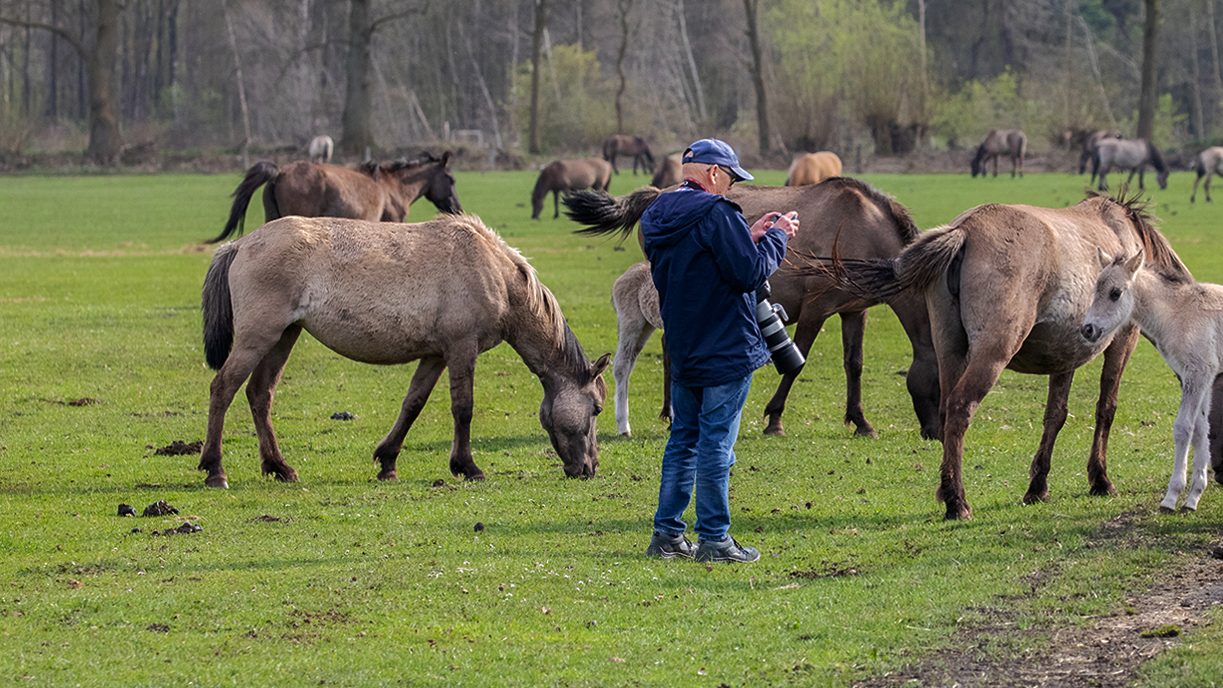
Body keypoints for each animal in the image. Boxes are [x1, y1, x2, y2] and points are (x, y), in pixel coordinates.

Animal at [196, 215, 611, 488]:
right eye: (596, 409)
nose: (589, 468)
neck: (495, 272)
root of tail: (240, 244)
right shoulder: (461, 348)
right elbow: (463, 408)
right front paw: (468, 467)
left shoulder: (435, 356)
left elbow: (413, 404)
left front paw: (388, 462)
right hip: (258, 337)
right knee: (223, 389)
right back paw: (215, 469)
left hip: (284, 336)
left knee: (259, 394)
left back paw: (278, 467)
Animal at [567, 177, 939, 444]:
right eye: (940, 379)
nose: (936, 432)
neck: (857, 228)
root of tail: (660, 193)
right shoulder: (815, 310)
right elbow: (797, 363)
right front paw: (774, 419)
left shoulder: (854, 311)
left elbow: (854, 365)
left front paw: (861, 422)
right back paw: (671, 414)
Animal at [812, 190, 1183, 520]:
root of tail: (965, 231)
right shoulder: (1123, 341)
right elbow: (1106, 409)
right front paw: (1100, 480)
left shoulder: (1065, 353)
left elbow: (1055, 415)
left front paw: (1038, 485)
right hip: (991, 355)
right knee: (961, 409)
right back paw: (957, 502)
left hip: (951, 351)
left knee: (946, 411)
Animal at [1081, 250, 1213, 513]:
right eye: (1095, 290)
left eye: (1115, 293)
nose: (1087, 329)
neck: (1182, 313)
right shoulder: (1199, 376)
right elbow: (1201, 429)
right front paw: (1193, 498)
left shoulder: (1197, 374)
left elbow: (1183, 427)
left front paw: (1171, 498)